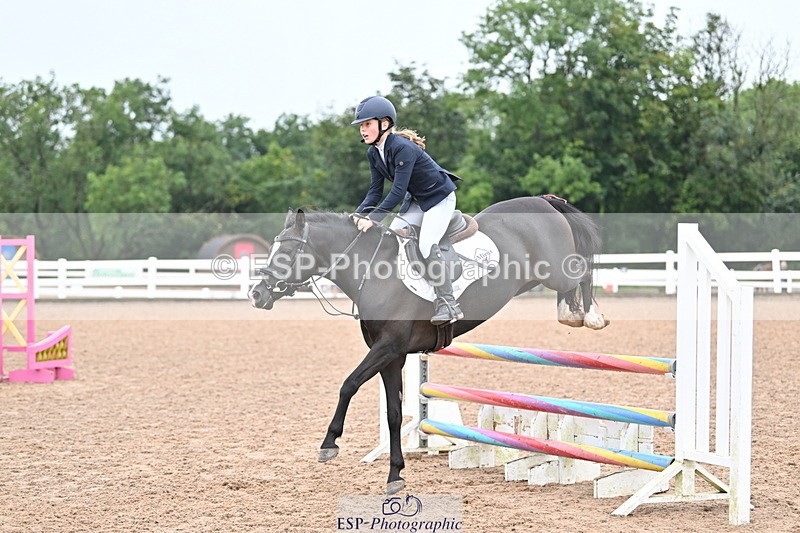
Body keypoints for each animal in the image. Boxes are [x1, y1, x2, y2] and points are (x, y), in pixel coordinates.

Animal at [248, 195, 608, 495]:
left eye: (286, 252)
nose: (256, 294)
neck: (373, 271)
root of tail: (543, 200)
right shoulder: (392, 357)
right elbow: (395, 414)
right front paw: (395, 474)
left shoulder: (387, 348)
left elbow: (348, 384)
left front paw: (329, 444)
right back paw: (570, 312)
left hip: (555, 270)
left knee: (581, 270)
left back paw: (588, 316)